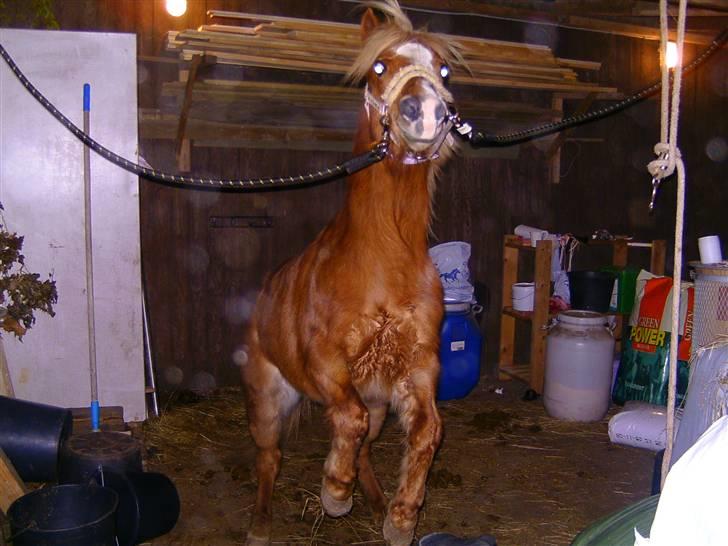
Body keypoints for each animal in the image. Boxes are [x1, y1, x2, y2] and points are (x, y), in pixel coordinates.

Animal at [245, 2, 460, 540]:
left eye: (444, 71)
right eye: (379, 67)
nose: (425, 111)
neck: (384, 260)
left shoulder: (419, 365)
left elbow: (428, 433)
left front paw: (402, 517)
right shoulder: (325, 362)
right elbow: (348, 417)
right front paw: (333, 492)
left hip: (382, 405)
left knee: (365, 451)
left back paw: (378, 502)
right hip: (267, 401)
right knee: (269, 457)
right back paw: (261, 523)